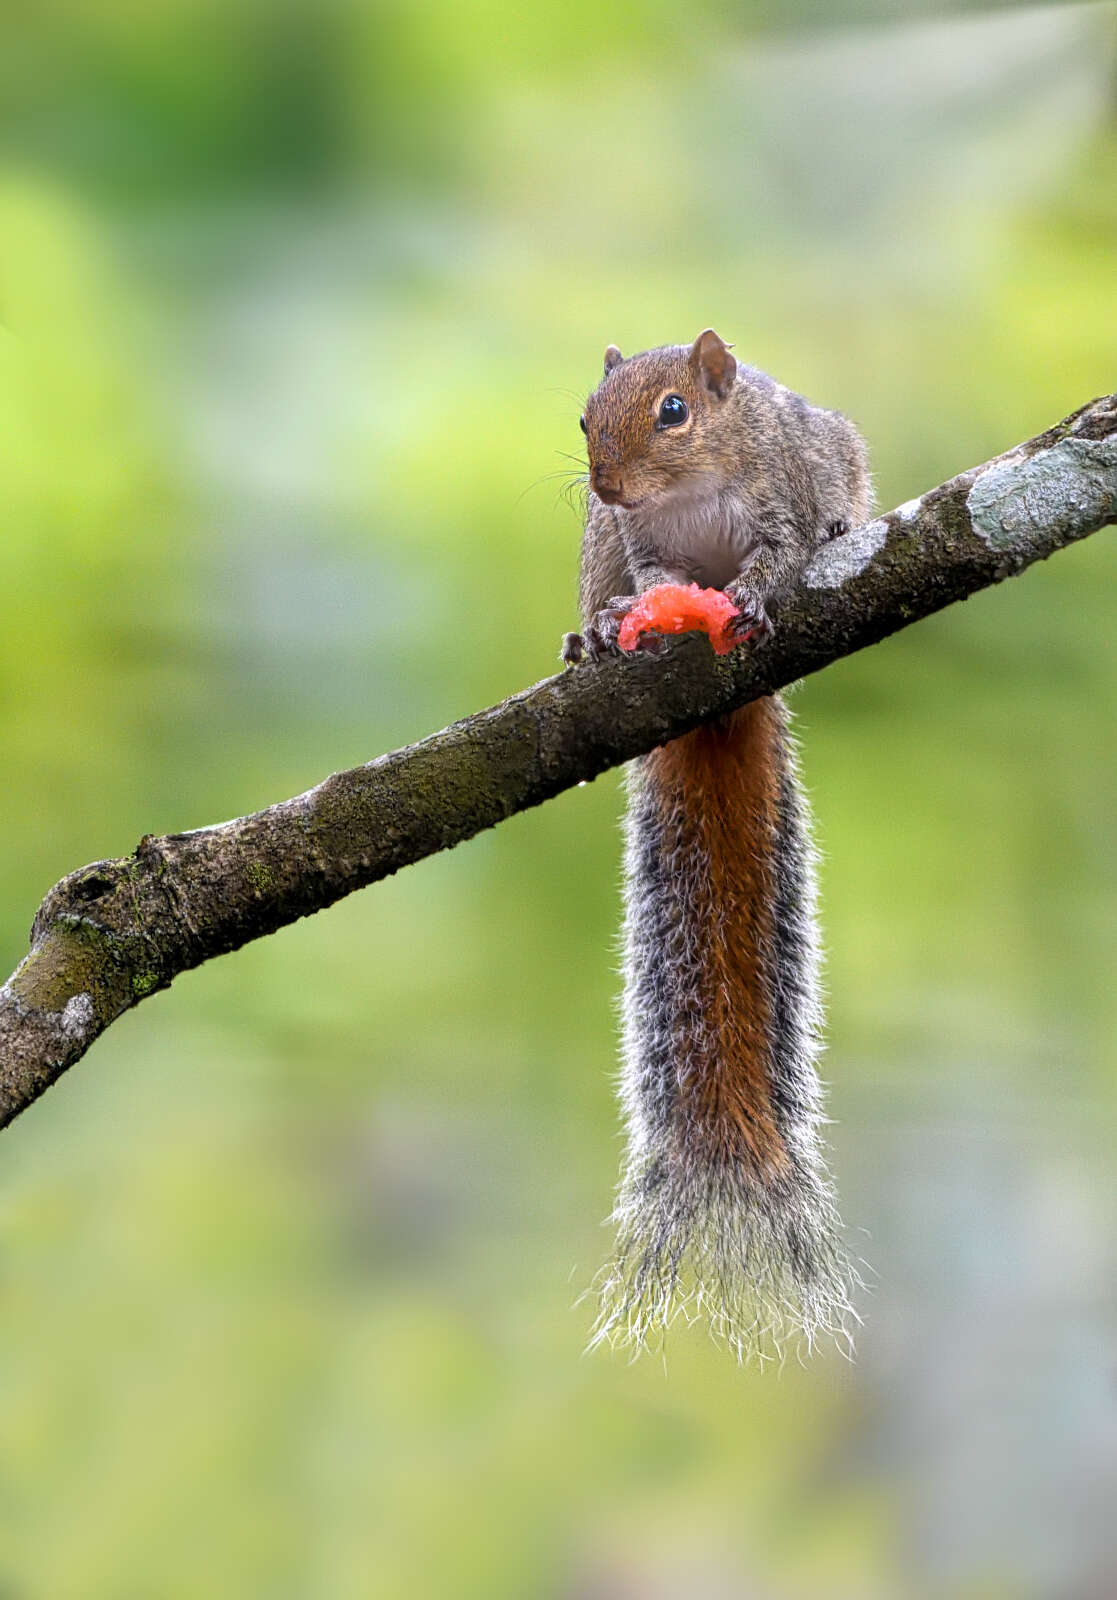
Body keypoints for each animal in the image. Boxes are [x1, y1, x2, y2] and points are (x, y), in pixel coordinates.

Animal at [560, 331, 864, 1356]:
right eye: (583, 418)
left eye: (673, 412)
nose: (604, 485)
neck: (686, 493)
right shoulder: (639, 544)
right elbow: (656, 580)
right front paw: (639, 615)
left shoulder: (779, 491)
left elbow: (780, 553)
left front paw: (759, 594)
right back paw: (598, 632)